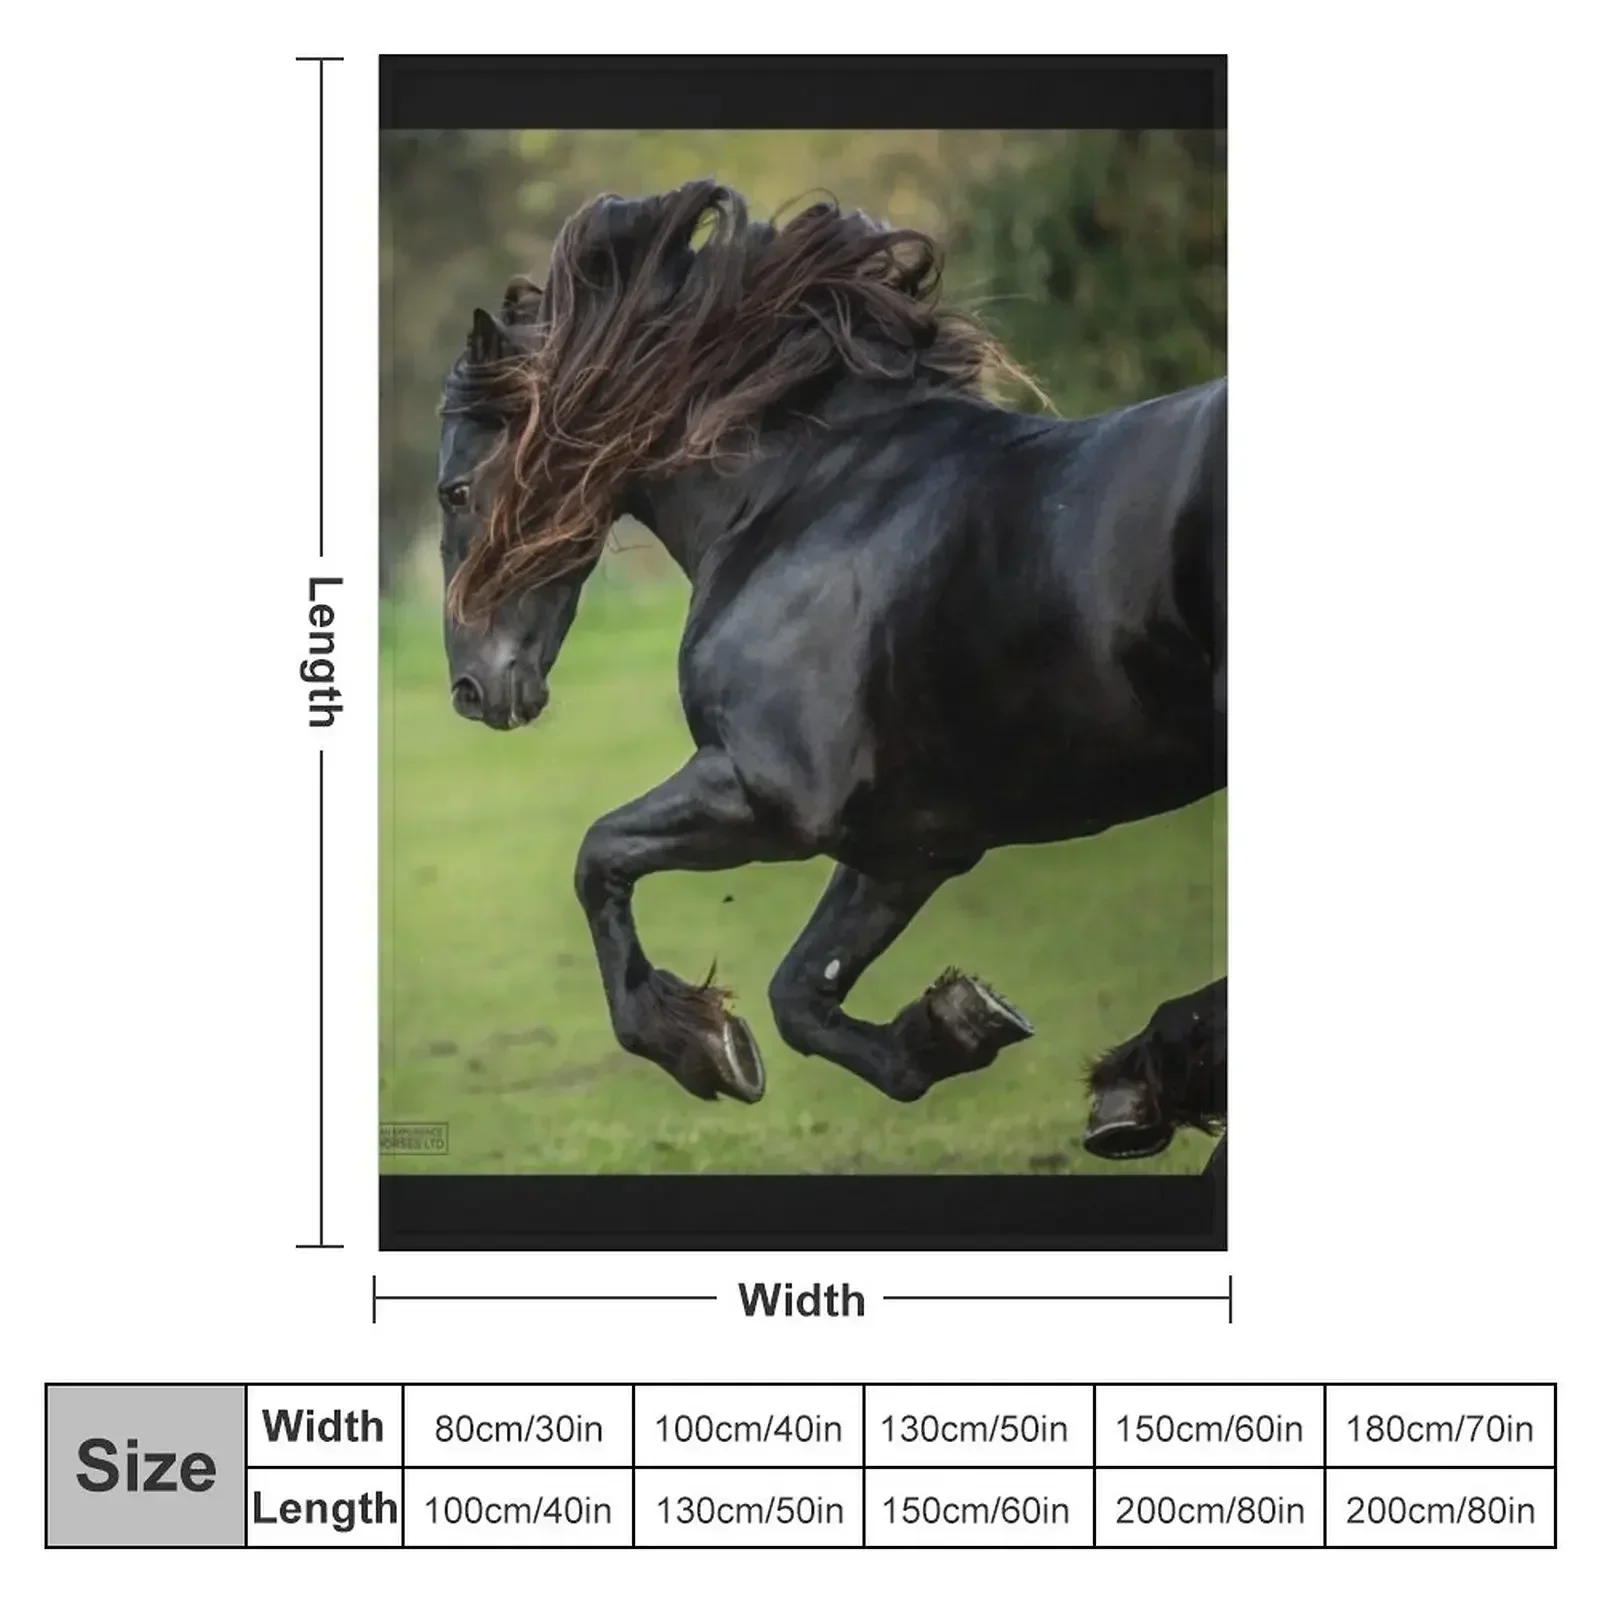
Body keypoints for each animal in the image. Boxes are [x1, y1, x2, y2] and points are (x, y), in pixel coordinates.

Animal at [434, 180, 1226, 1160]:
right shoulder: (911, 842)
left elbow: (597, 857)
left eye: (455, 491)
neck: (799, 497)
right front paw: (953, 1026)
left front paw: (697, 1046)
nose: (472, 688)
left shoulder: (775, 797)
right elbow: (801, 994)